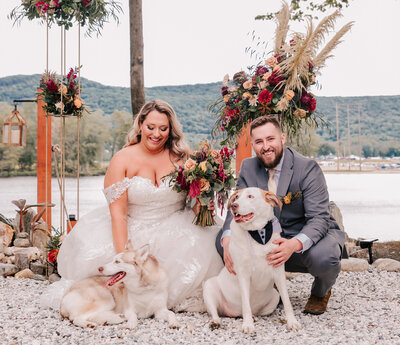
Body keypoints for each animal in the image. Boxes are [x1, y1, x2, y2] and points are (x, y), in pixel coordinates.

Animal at [203, 187, 300, 332]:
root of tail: (233, 312)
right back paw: (216, 322)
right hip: (209, 288)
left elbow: (287, 301)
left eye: (250, 196)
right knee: (216, 312)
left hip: (274, 297)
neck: (258, 232)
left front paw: (292, 321)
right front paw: (248, 325)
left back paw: (254, 317)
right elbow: (245, 303)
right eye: (236, 197)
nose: (233, 205)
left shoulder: (278, 271)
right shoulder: (243, 274)